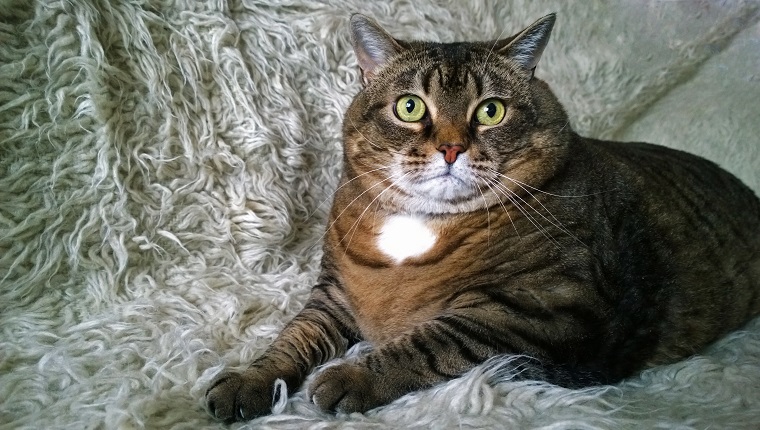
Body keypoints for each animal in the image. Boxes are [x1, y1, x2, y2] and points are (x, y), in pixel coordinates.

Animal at [202, 12, 760, 420]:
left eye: (490, 110)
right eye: (410, 107)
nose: (451, 148)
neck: (420, 226)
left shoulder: (548, 307)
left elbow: (434, 338)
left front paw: (353, 376)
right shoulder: (335, 294)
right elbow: (292, 337)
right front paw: (249, 381)